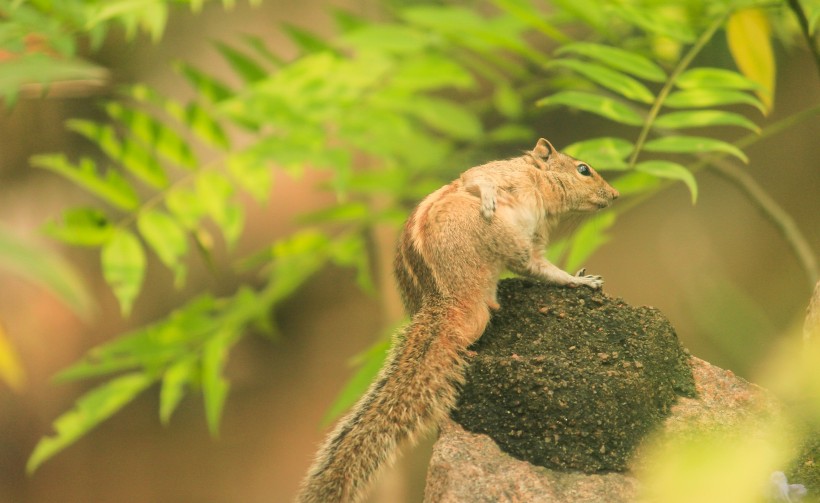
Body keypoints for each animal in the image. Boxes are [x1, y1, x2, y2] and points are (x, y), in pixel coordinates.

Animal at [298, 139, 620, 503]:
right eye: (583, 169)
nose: (615, 194)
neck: (538, 182)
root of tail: (442, 304)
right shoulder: (503, 175)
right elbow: (475, 178)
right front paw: (490, 197)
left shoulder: (536, 234)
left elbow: (540, 263)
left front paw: (574, 277)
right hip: (492, 249)